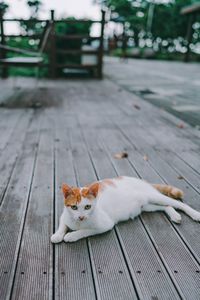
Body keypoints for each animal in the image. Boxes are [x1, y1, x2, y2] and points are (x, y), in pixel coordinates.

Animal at [50, 176, 200, 244]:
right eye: (74, 207)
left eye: (87, 207)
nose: (81, 217)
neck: (78, 223)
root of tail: (139, 180)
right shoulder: (64, 215)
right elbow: (62, 225)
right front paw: (57, 235)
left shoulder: (105, 225)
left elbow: (85, 231)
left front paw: (71, 235)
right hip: (147, 206)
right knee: (165, 206)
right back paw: (174, 216)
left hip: (154, 196)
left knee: (177, 203)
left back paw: (195, 214)